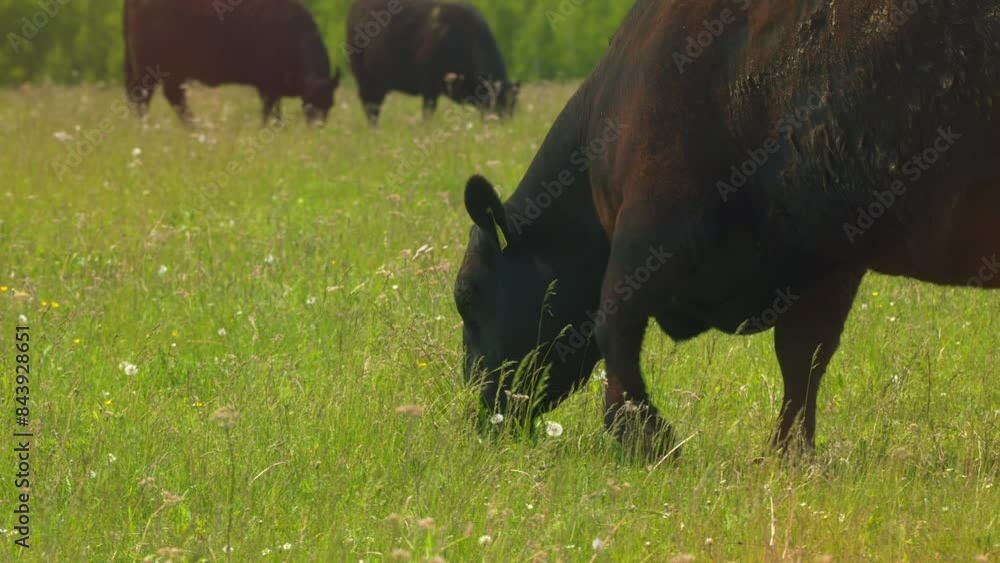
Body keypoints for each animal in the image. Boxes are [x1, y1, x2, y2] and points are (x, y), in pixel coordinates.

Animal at [123, 0, 341, 125]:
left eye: (330, 105)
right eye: (309, 106)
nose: (317, 128)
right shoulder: (269, 87)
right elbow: (271, 112)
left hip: (172, 72)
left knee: (173, 97)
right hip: (150, 67)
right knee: (143, 96)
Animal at [346, 0, 519, 125]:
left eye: (512, 105)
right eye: (498, 103)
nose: (504, 125)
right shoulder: (429, 88)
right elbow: (428, 111)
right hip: (368, 82)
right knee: (371, 108)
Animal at [454, 0, 1000, 458]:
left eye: (468, 293)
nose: (478, 410)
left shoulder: (651, 223)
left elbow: (615, 324)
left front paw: (644, 437)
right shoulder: (826, 260)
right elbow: (804, 357)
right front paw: (789, 454)